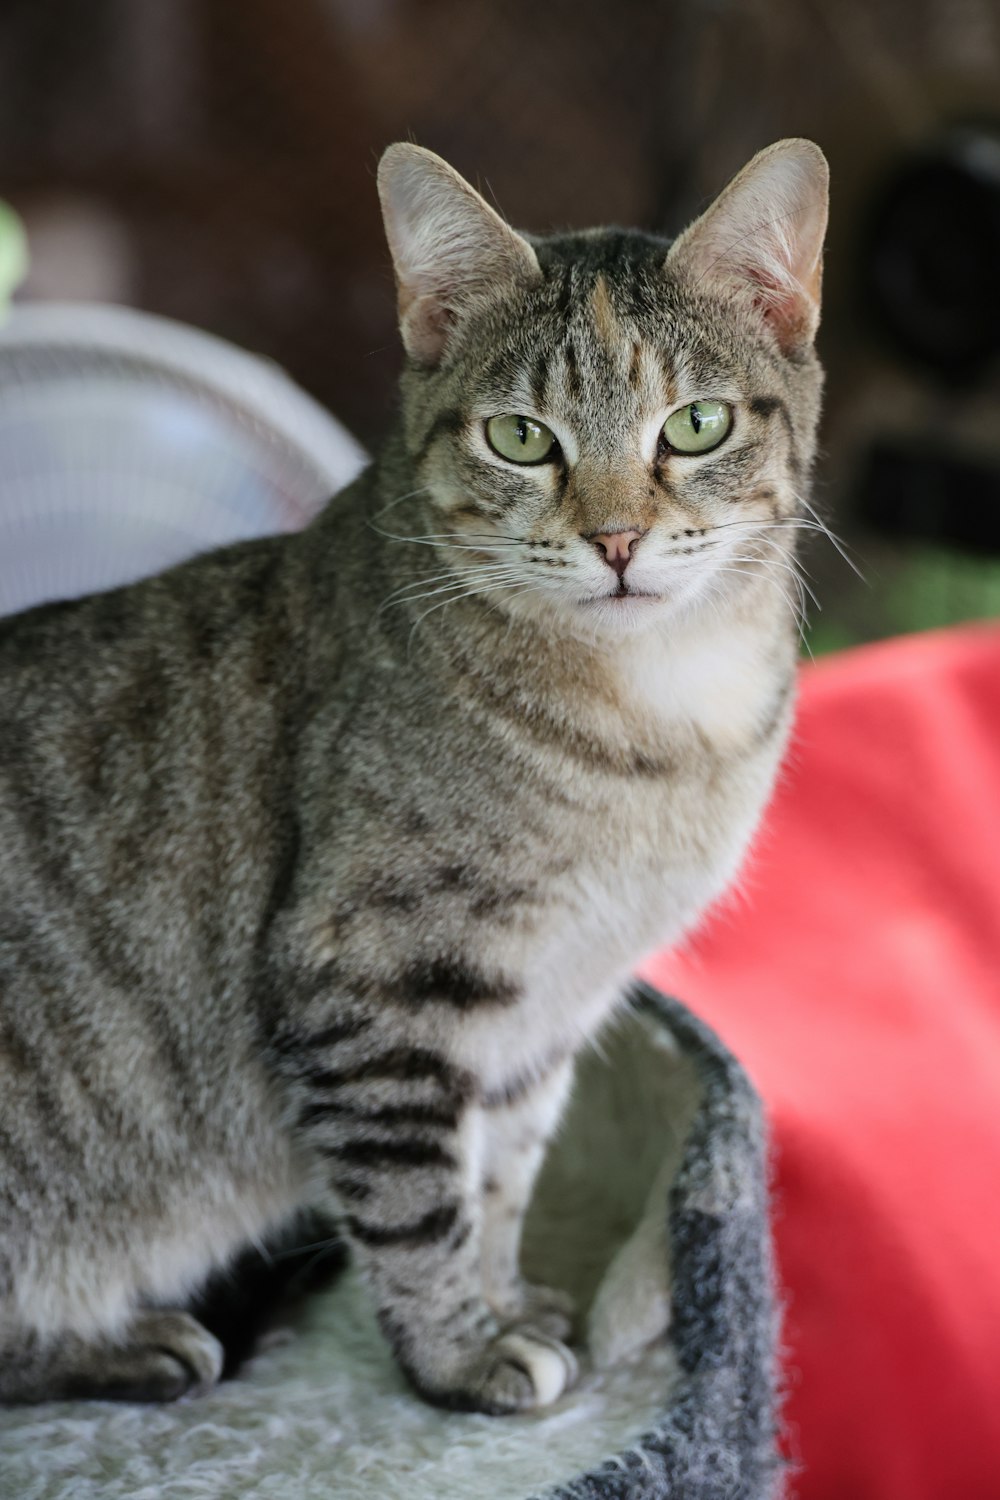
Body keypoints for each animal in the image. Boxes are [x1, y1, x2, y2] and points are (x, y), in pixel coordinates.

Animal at [0, 135, 827, 1410]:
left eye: (693, 425)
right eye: (521, 437)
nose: (617, 540)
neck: (657, 723)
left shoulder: (541, 1012)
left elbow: (497, 1178)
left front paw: (504, 1300)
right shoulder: (369, 979)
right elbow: (415, 1200)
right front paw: (461, 1352)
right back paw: (126, 1343)